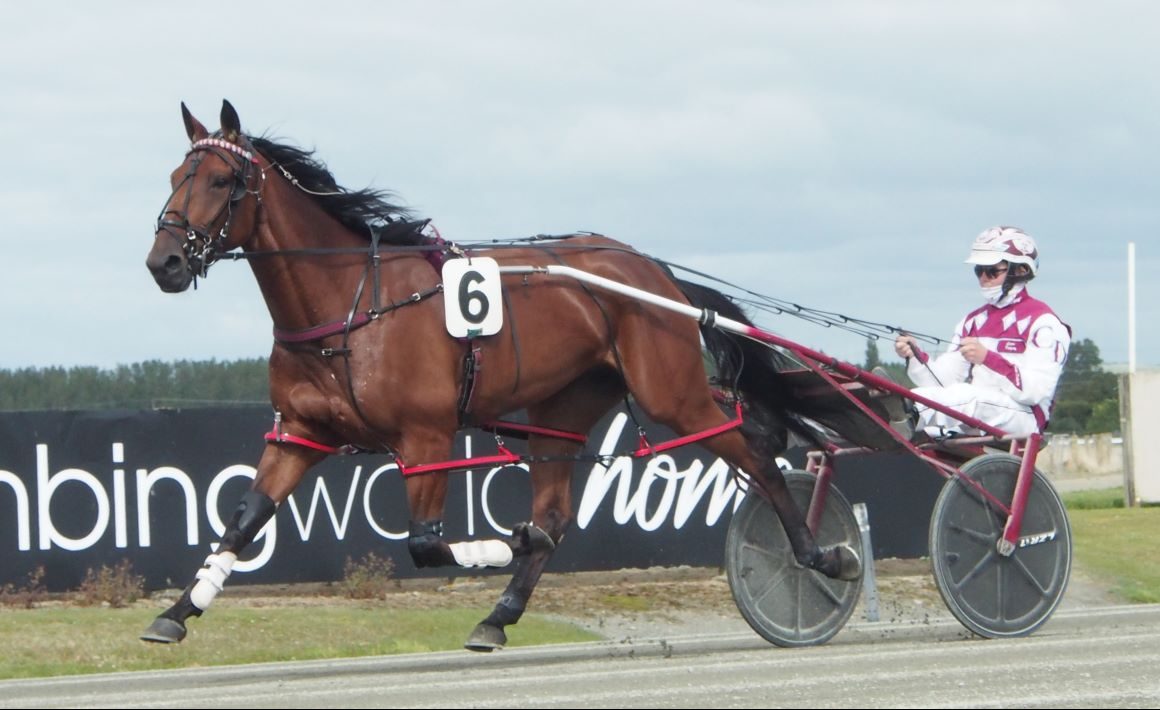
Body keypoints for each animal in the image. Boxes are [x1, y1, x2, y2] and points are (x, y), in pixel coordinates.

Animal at [141, 100, 861, 651]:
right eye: (175, 173)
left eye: (222, 181)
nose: (164, 262)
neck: (347, 302)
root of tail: (653, 271)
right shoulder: (298, 433)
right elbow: (241, 523)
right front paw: (176, 614)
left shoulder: (426, 437)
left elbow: (426, 545)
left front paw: (501, 542)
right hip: (561, 410)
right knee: (558, 512)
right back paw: (499, 616)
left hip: (673, 392)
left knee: (755, 452)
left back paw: (821, 556)